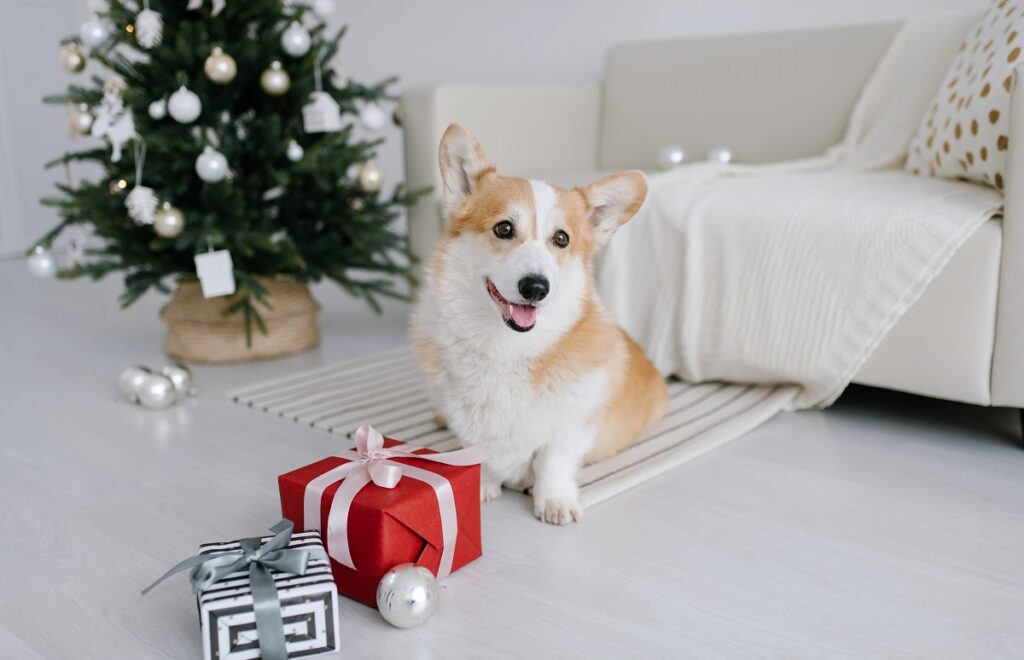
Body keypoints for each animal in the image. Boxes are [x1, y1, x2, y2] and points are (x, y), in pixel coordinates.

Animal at [411, 124, 667, 523]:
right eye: (504, 228)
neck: (506, 348)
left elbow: (553, 463)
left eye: (561, 239)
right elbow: (481, 453)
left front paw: (554, 501)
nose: (535, 287)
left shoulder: (572, 425)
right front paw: (483, 485)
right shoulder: (471, 423)